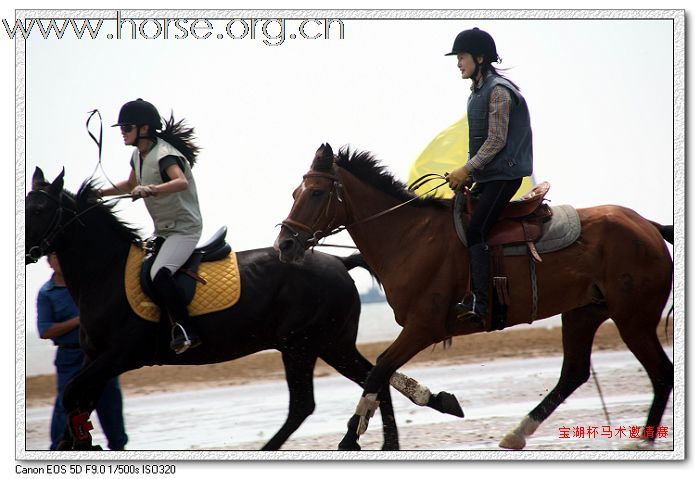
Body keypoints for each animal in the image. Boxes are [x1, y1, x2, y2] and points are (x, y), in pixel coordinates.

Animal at [24, 170, 462, 454]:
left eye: (40, 208)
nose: (25, 249)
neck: (108, 273)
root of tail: (339, 262)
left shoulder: (119, 356)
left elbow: (74, 394)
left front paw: (80, 443)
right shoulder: (97, 358)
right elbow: (76, 399)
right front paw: (75, 442)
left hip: (300, 345)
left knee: (306, 403)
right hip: (330, 344)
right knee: (376, 376)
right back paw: (396, 433)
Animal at [274, 144, 672, 452]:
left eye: (316, 193)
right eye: (294, 194)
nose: (285, 245)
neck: (410, 238)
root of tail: (648, 227)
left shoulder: (423, 327)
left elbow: (380, 368)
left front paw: (351, 437)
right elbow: (381, 370)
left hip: (633, 319)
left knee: (660, 372)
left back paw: (642, 440)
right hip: (583, 313)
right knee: (573, 373)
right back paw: (517, 433)